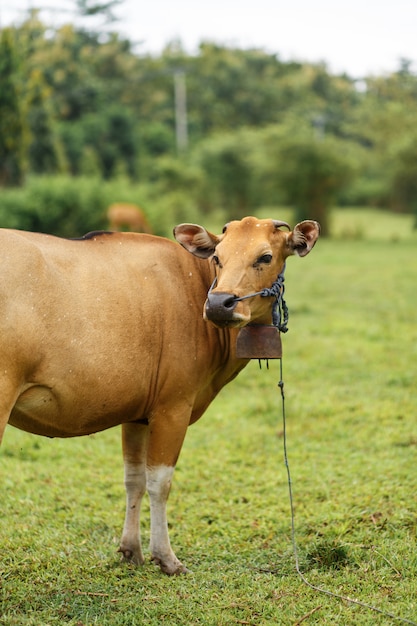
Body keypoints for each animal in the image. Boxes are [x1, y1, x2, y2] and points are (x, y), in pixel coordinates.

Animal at [0, 217, 318, 572]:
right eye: (218, 257)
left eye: (265, 257)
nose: (219, 303)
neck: (193, 284)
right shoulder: (173, 408)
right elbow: (160, 482)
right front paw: (166, 557)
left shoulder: (136, 415)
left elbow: (134, 479)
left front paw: (131, 550)